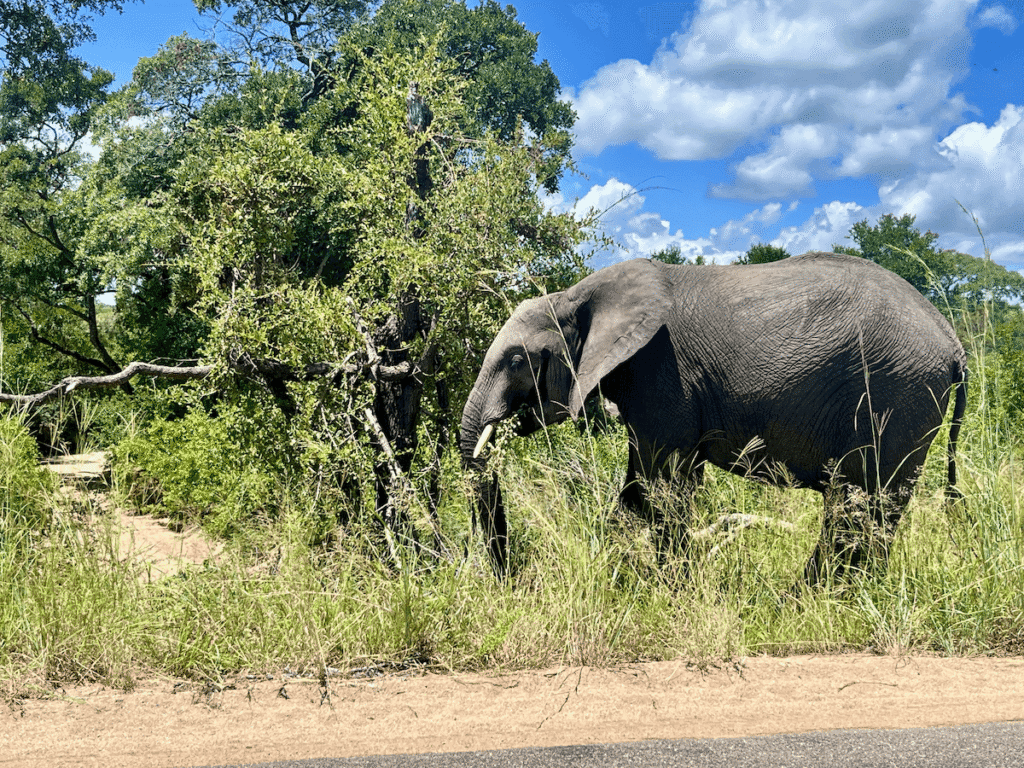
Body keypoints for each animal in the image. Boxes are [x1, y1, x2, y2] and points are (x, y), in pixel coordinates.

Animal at [460, 251, 968, 583]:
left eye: (516, 360)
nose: (511, 581)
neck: (578, 295)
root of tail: (953, 341)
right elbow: (638, 492)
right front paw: (631, 581)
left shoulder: (663, 371)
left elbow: (663, 488)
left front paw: (670, 591)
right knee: (867, 508)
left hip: (896, 392)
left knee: (861, 505)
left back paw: (812, 599)